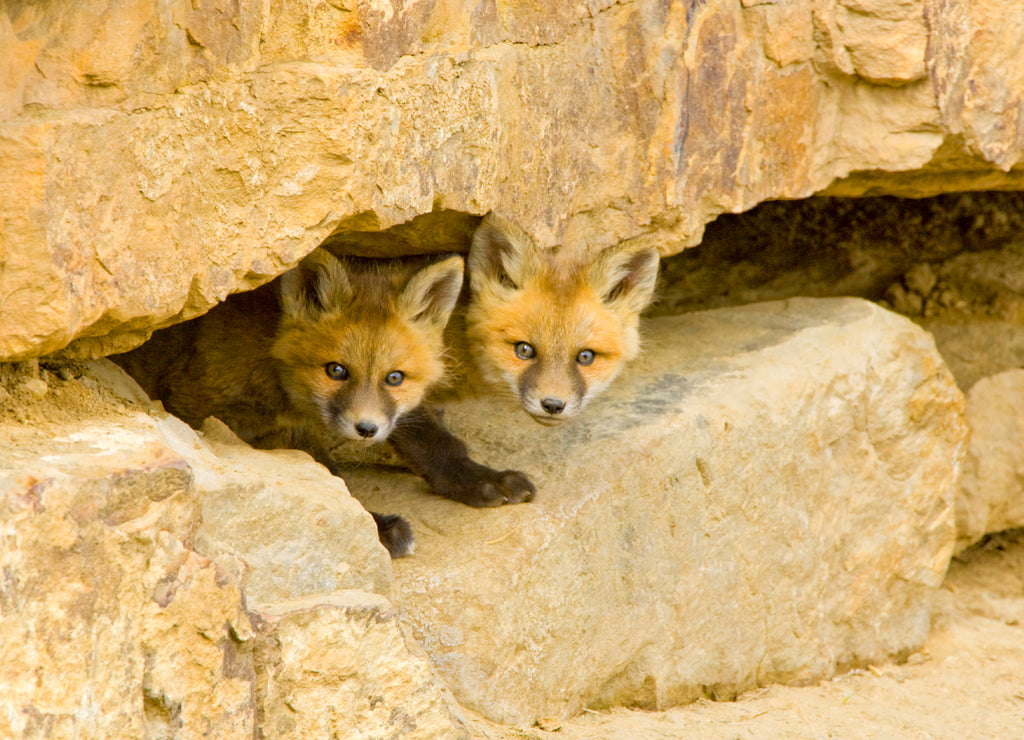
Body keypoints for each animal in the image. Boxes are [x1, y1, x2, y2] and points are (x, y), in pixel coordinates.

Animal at [112, 248, 476, 558]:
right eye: (336, 371)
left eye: (395, 378)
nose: (366, 429)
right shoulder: (203, 406)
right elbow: (330, 478)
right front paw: (378, 527)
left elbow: (422, 432)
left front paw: (470, 476)